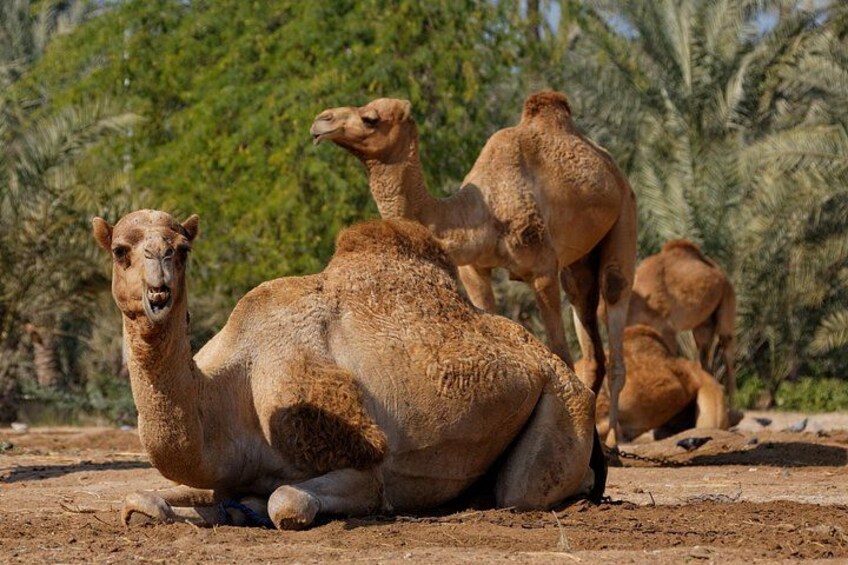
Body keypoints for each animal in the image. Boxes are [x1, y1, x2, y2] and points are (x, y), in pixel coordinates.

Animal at [91, 210, 606, 530]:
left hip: (563, 399)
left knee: (523, 490)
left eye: (181, 248)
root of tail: (546, 357)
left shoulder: (366, 470)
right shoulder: (228, 478)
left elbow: (286, 500)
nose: (158, 286)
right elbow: (145, 499)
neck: (232, 391)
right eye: (121, 250)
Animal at [311, 92, 638, 447]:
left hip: (624, 215)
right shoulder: (474, 269)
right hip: (579, 262)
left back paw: (613, 441)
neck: (483, 211)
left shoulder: (542, 270)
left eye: (370, 118)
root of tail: (610, 165)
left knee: (615, 298)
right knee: (585, 317)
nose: (320, 121)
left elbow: (561, 354)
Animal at [628, 240, 737, 403]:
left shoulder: (666, 329)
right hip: (704, 323)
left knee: (727, 347)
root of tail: (721, 273)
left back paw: (732, 402)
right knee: (704, 353)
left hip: (727, 298)